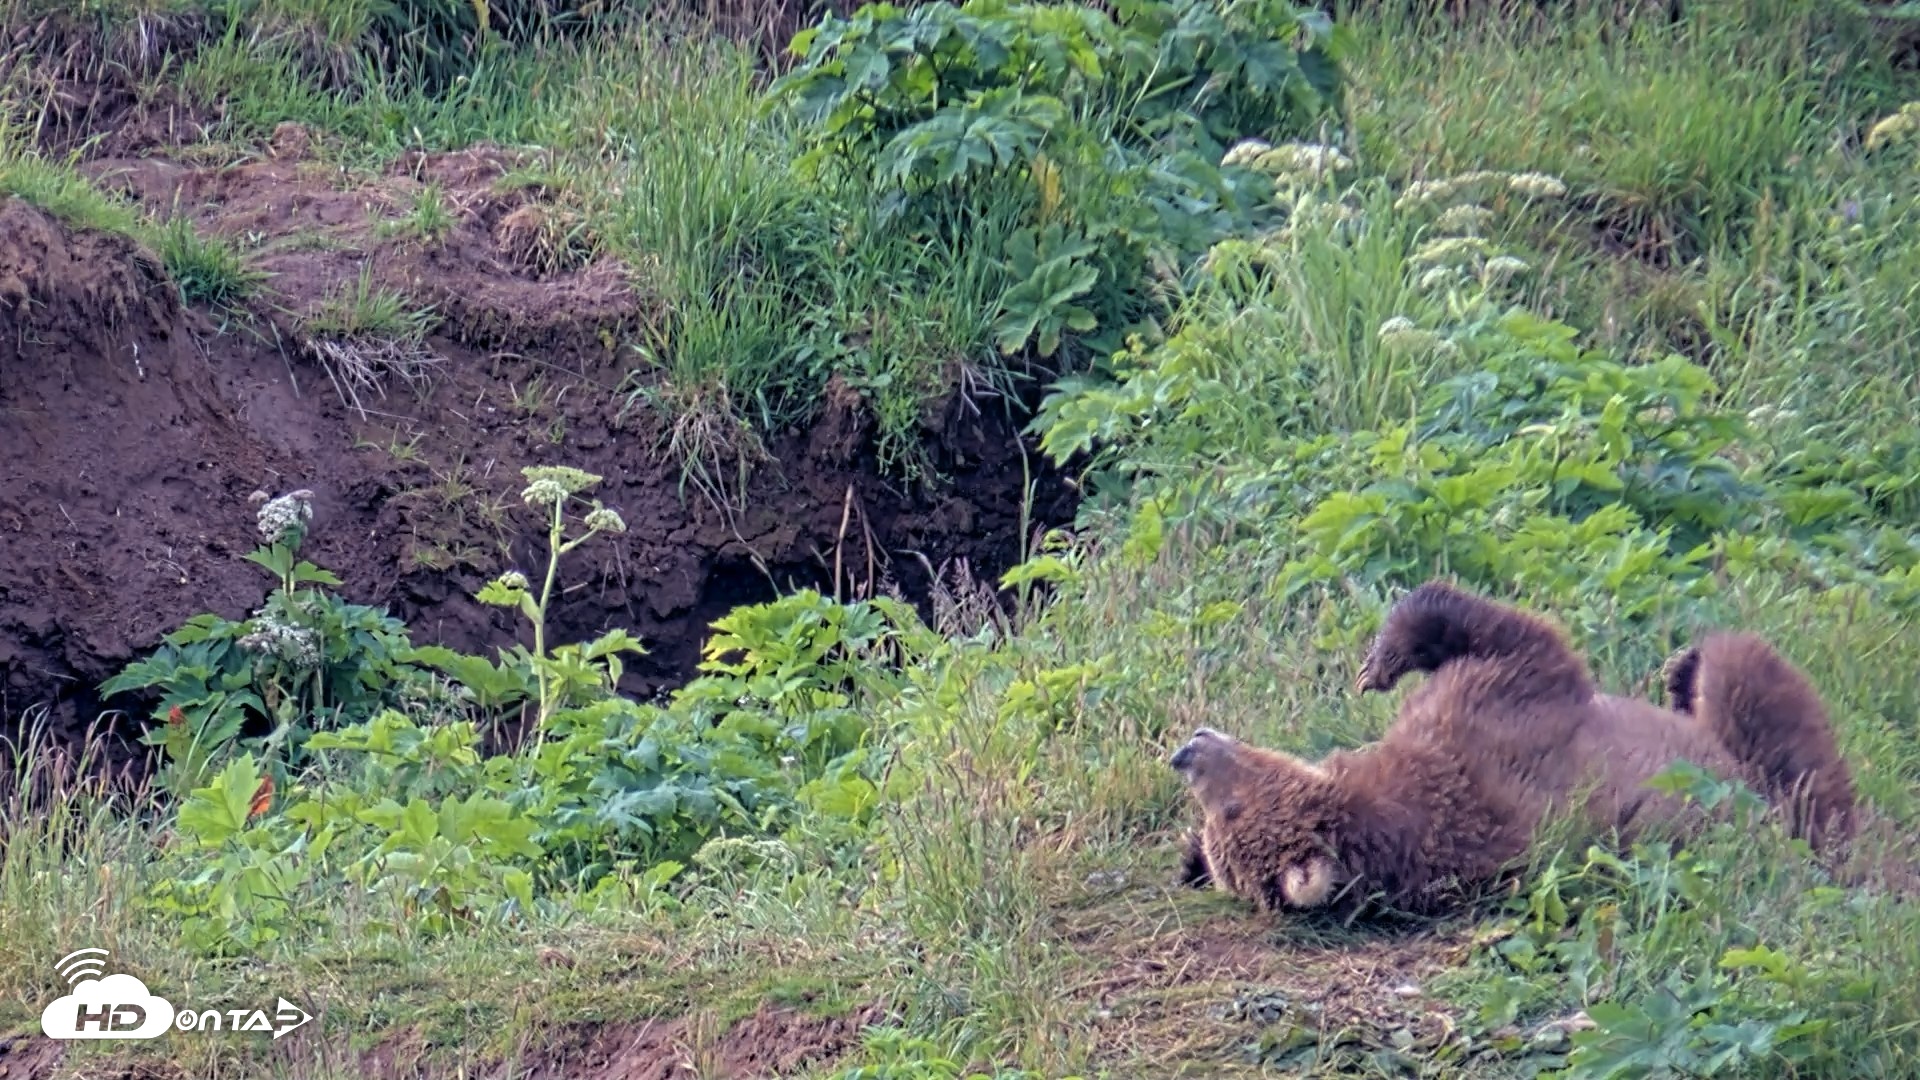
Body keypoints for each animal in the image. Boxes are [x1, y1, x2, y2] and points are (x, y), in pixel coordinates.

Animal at [1171, 580, 1857, 917]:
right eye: (1226, 816)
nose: (1187, 751)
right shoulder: (1493, 724)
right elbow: (1522, 639)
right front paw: (1384, 660)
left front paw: (1375, 664)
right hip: (1754, 779)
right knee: (1755, 690)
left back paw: (1678, 669)